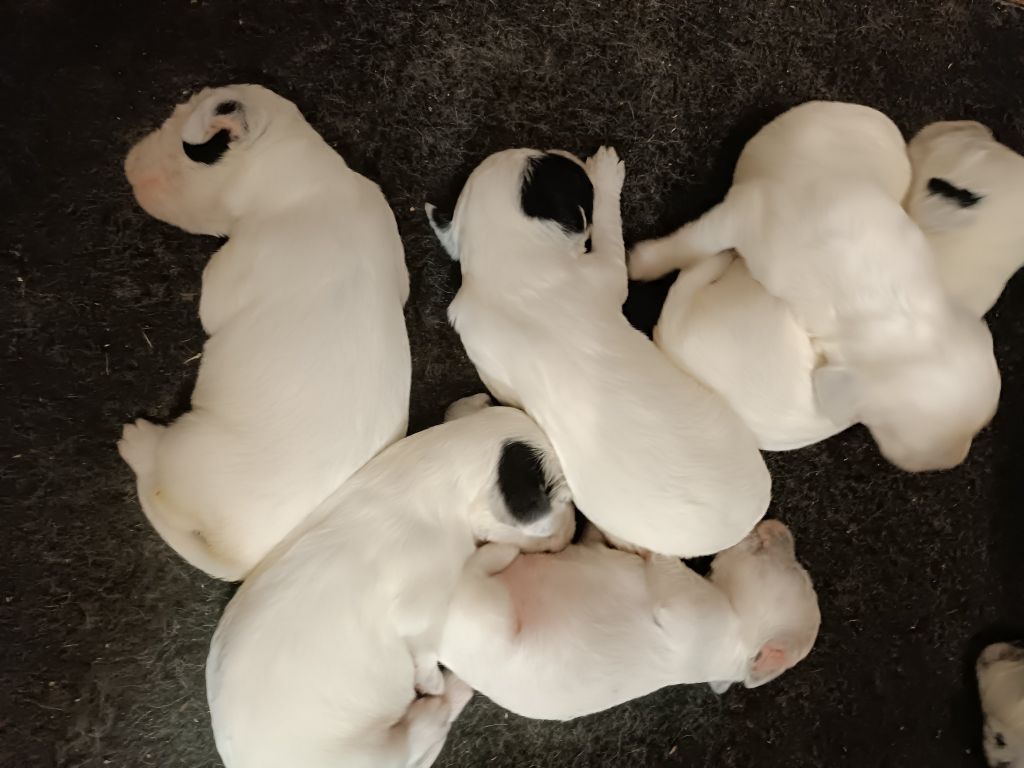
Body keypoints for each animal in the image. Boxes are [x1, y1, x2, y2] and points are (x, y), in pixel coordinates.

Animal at [118, 84, 411, 580]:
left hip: (189, 446)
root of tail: (239, 559)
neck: (310, 179)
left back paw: (137, 441)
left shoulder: (232, 270)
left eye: (183, 144)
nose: (127, 165)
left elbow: (211, 305)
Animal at [206, 395, 575, 768]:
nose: (575, 532)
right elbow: (424, 644)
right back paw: (443, 696)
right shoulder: (418, 604)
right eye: (562, 499)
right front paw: (430, 680)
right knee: (424, 728)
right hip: (373, 753)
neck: (434, 466)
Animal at [426, 147, 769, 557]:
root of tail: (746, 522)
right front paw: (605, 173)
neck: (504, 264)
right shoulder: (604, 273)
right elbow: (609, 236)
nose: (559, 150)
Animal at [439, 519, 820, 721]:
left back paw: (500, 549)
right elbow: (600, 542)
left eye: (800, 574)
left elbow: (664, 564)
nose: (777, 523)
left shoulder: (689, 610)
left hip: (488, 616)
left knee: (476, 572)